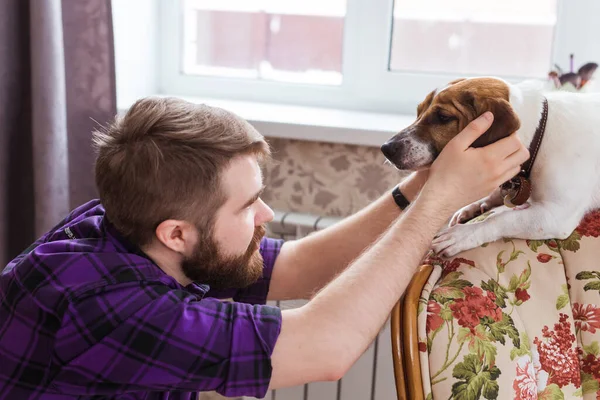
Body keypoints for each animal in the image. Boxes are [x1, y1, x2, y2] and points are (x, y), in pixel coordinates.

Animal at [382, 76, 600, 258]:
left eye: (443, 117)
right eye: (418, 112)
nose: (386, 148)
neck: (540, 131)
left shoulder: (556, 215)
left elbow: (502, 219)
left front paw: (462, 235)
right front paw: (477, 205)